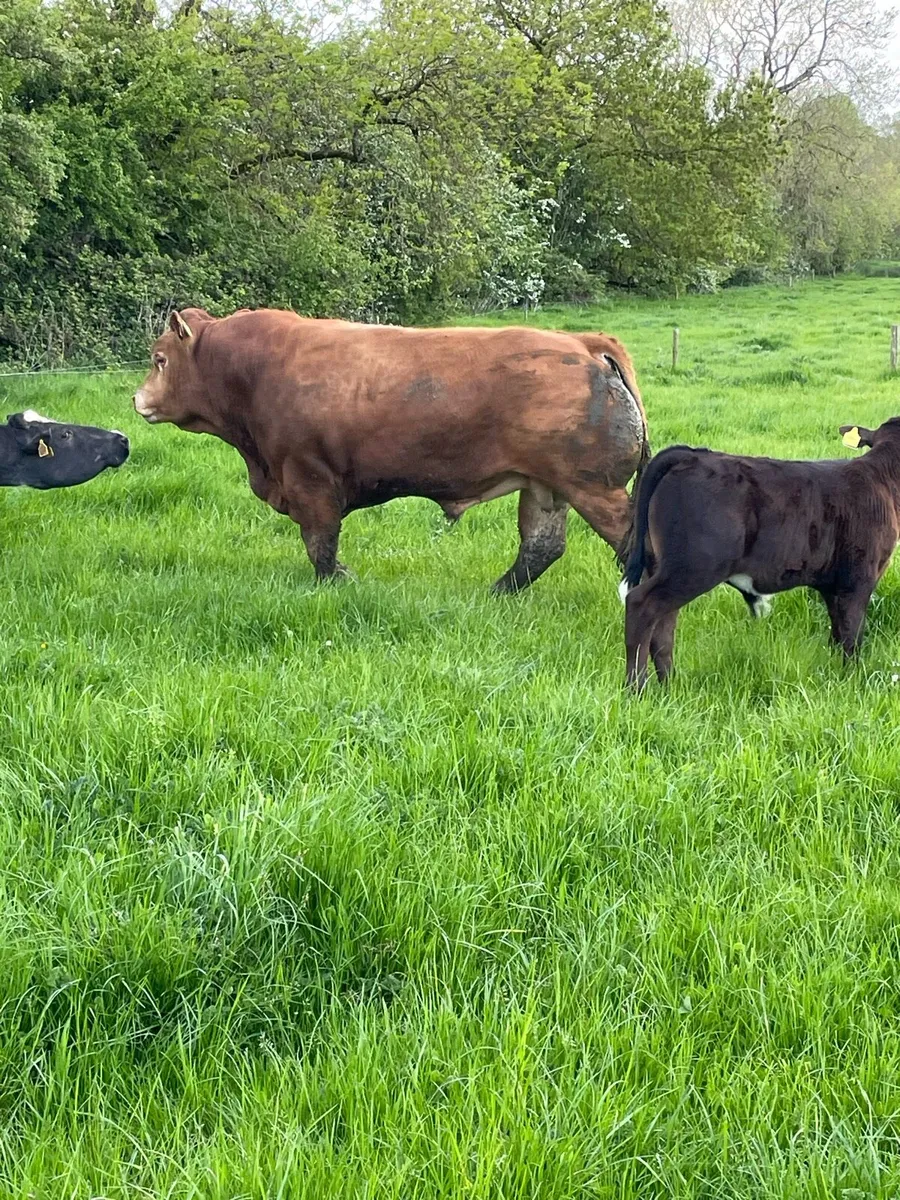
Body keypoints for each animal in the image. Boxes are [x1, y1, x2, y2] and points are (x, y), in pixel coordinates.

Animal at [134, 308, 648, 590]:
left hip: (593, 488)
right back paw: (495, 593)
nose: (138, 399)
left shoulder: (308, 476)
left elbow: (320, 542)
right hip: (546, 488)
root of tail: (582, 343)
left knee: (629, 543)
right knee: (541, 548)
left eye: (159, 360)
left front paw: (337, 581)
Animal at [619, 420, 900, 688]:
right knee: (641, 606)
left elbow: (838, 634)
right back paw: (637, 688)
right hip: (693, 568)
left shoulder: (832, 585)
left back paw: (669, 685)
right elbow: (853, 636)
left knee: (664, 626)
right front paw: (852, 680)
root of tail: (691, 454)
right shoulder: (858, 580)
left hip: (664, 567)